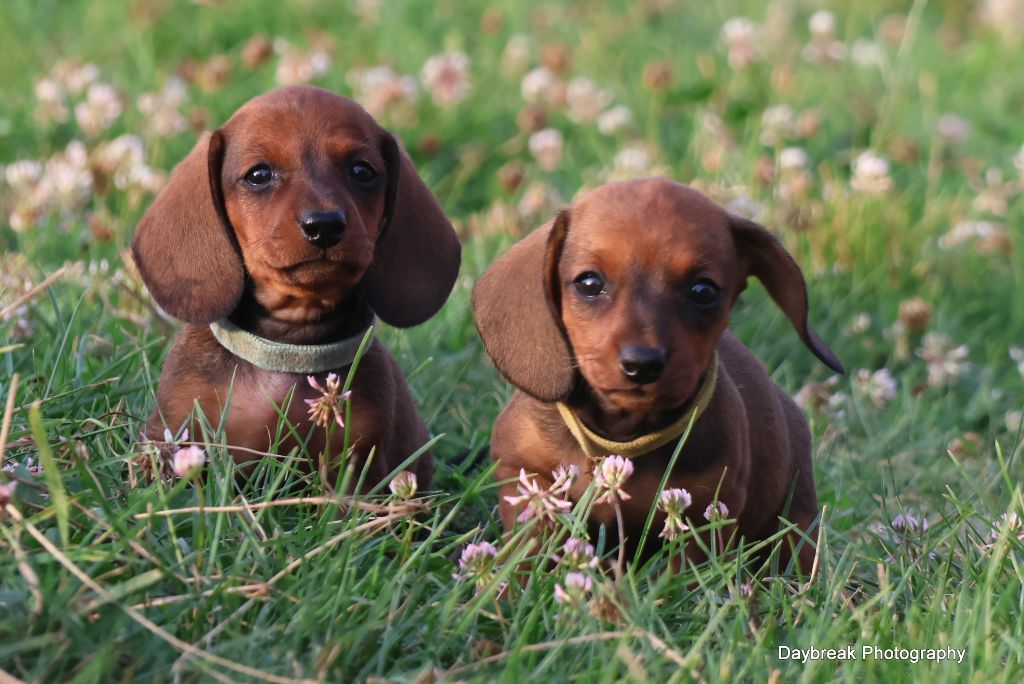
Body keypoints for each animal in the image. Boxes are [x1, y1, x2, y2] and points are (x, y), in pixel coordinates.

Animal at [132, 87, 460, 485]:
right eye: (259, 174)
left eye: (362, 171)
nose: (324, 225)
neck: (287, 350)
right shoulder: (175, 430)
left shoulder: (358, 461)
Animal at [471, 178, 839, 573]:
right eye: (589, 283)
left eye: (703, 290)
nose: (642, 364)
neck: (621, 438)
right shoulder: (525, 474)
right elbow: (530, 548)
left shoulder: (704, 511)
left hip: (795, 523)